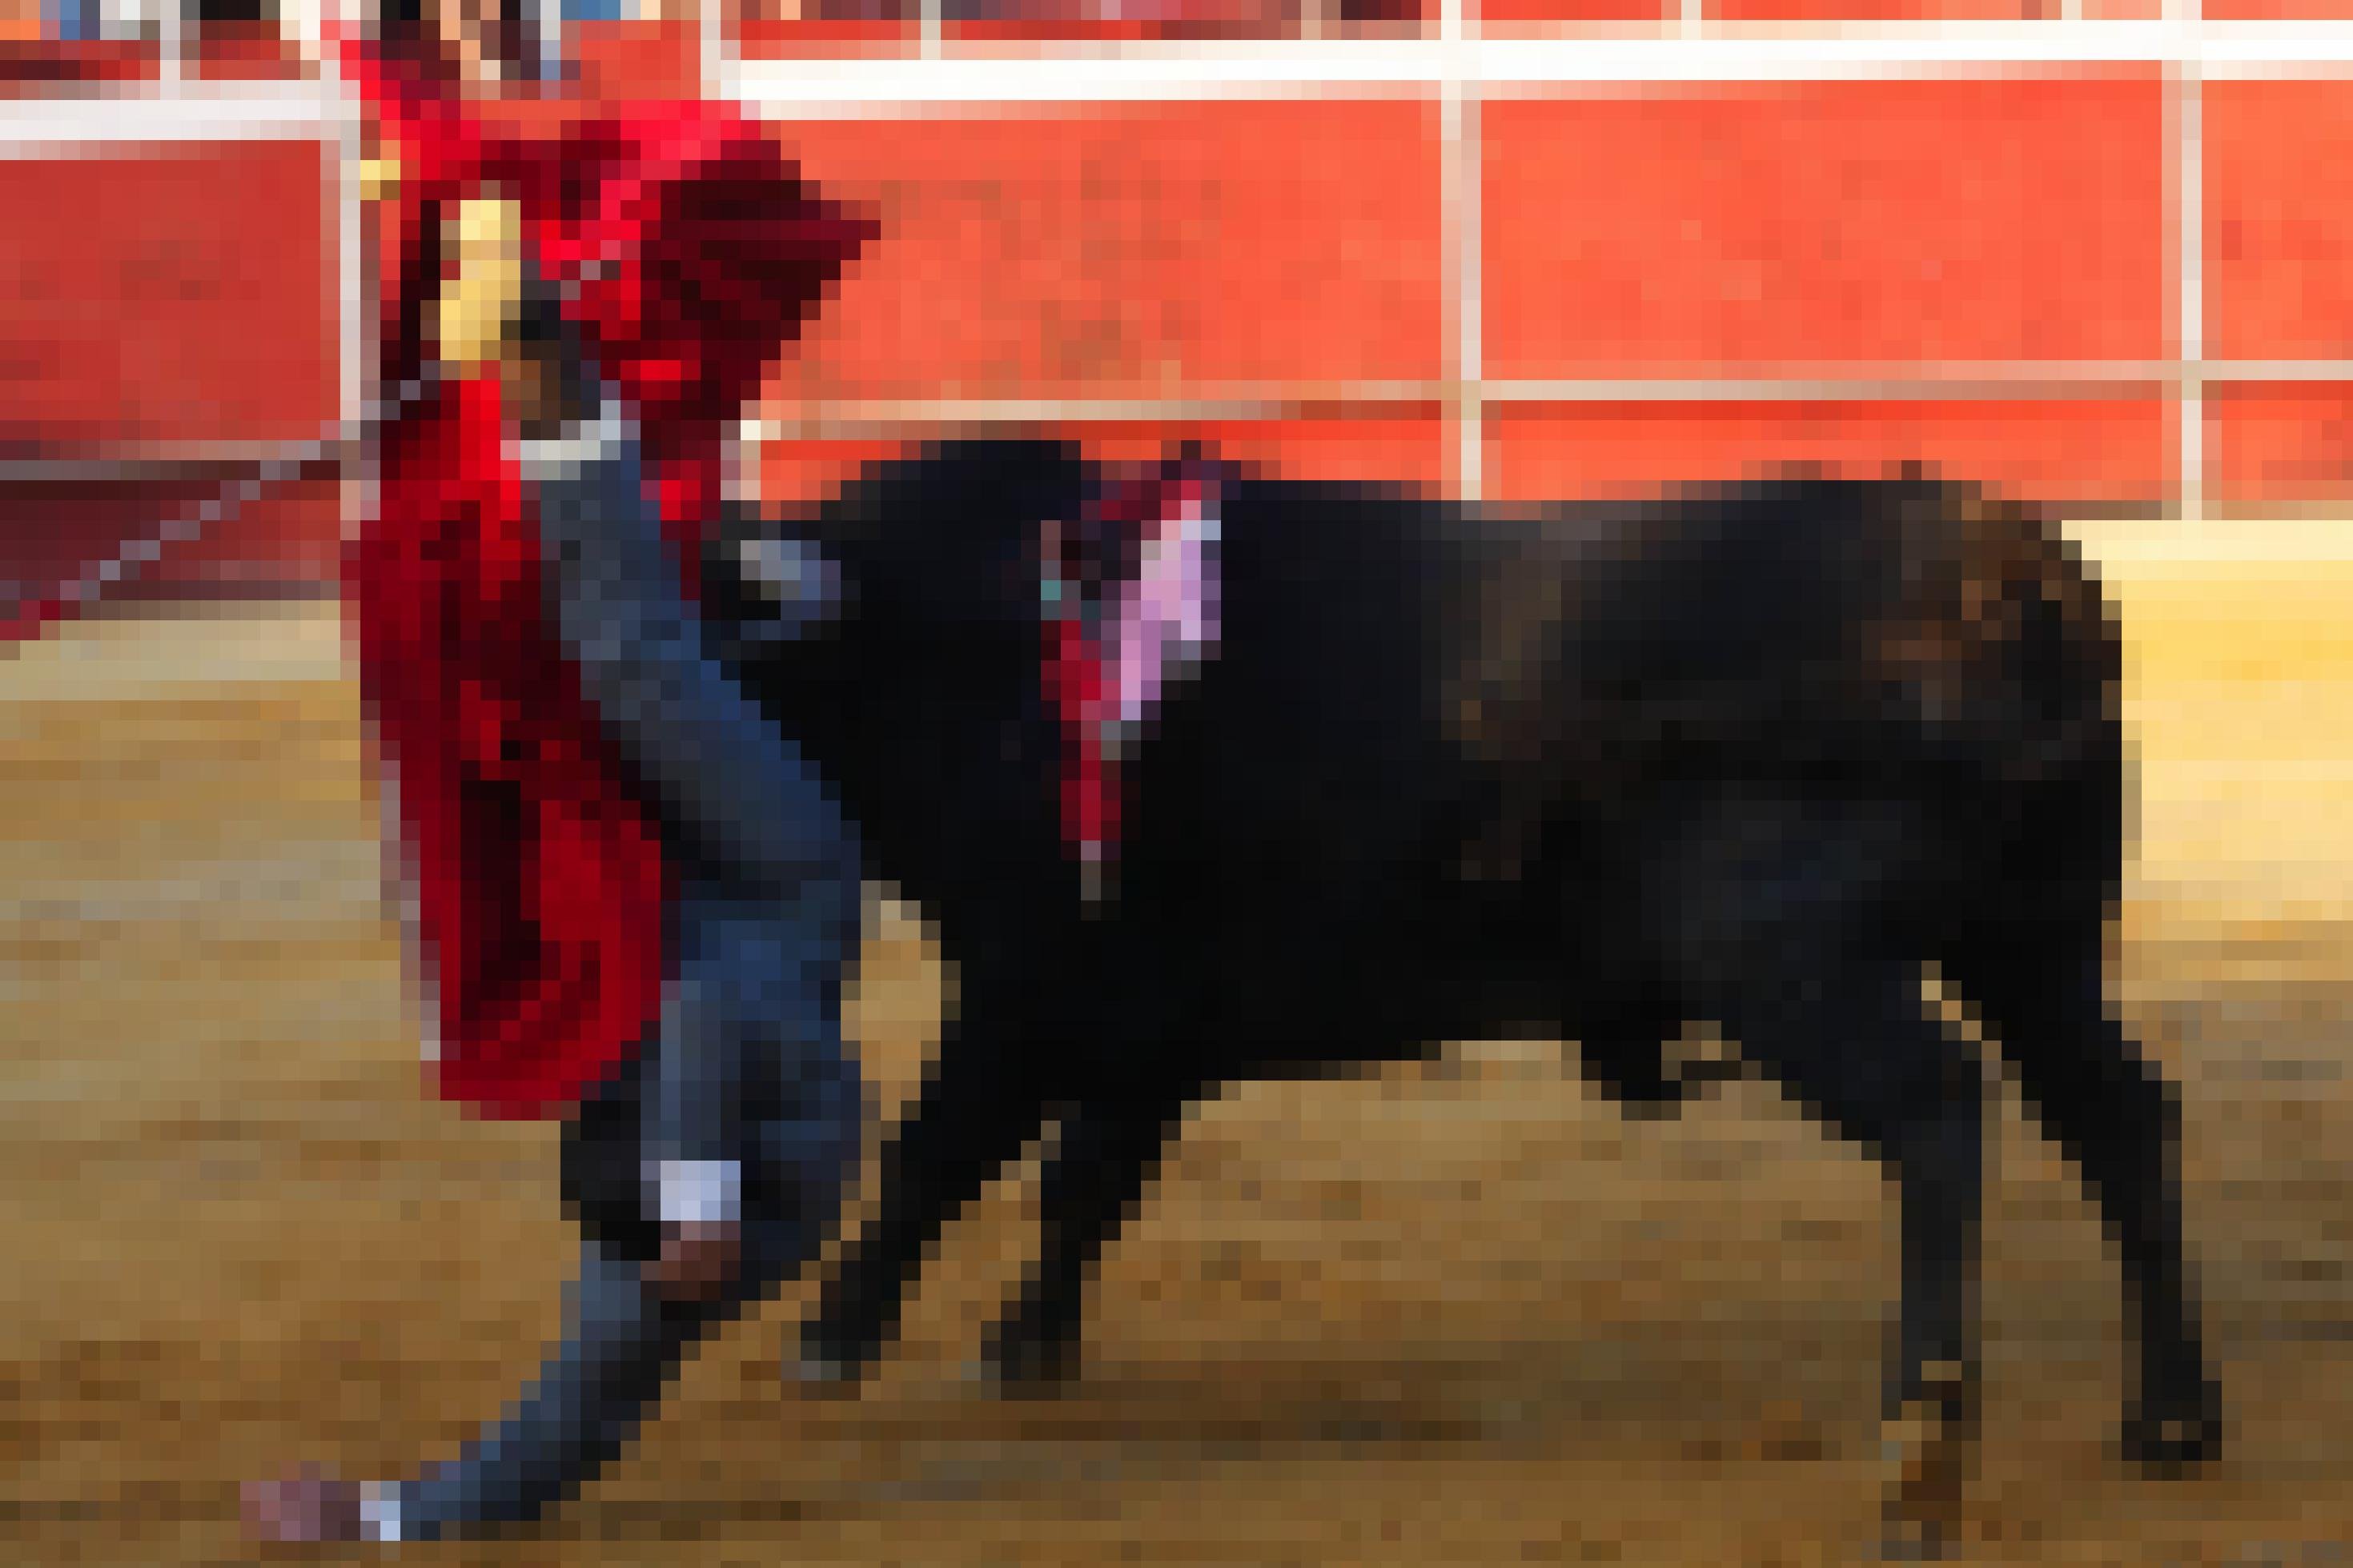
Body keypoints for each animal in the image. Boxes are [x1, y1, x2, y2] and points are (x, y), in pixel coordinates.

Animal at [692, 442, 2221, 1542]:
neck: (958, 638)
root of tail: (2006, 567)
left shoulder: (1024, 985)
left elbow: (936, 1152)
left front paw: (829, 1340)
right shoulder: (1149, 1016)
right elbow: (1088, 1178)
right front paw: (1023, 1341)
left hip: (1793, 964)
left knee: (1935, 1110)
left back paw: (1919, 1451)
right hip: (2033, 942)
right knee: (2115, 1114)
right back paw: (2169, 1417)